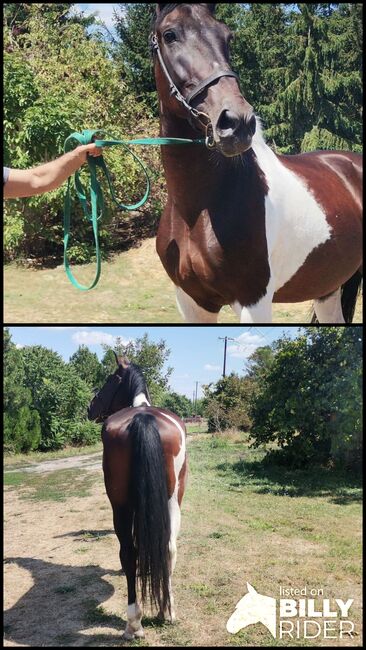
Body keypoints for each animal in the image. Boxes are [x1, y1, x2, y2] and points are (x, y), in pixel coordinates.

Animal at [87, 352, 187, 636]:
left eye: (110, 379)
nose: (90, 407)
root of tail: (142, 419)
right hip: (172, 500)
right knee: (168, 546)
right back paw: (167, 610)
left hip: (120, 505)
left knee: (128, 553)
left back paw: (133, 623)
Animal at [150, 2, 362, 322]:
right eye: (170, 34)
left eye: (228, 36)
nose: (237, 122)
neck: (197, 212)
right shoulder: (192, 302)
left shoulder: (254, 302)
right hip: (328, 287)